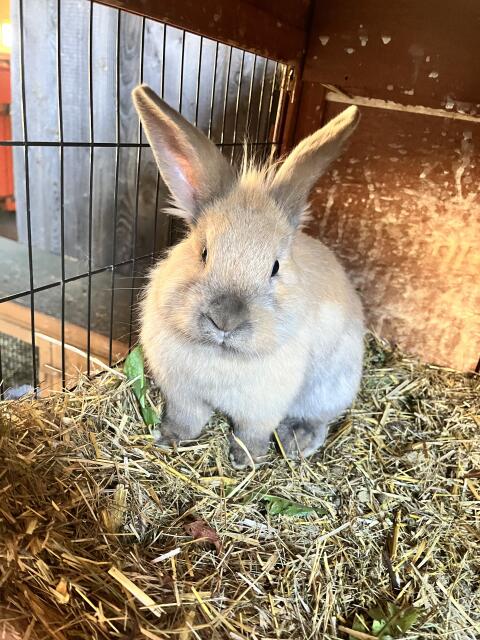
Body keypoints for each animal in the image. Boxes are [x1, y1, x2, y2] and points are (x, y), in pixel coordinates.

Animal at [133, 84, 364, 468]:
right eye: (203, 251)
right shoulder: (182, 394)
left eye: (275, 267)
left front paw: (246, 460)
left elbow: (251, 433)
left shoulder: (262, 408)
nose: (224, 320)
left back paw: (298, 439)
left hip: (330, 386)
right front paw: (169, 438)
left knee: (320, 418)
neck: (220, 353)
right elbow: (187, 419)